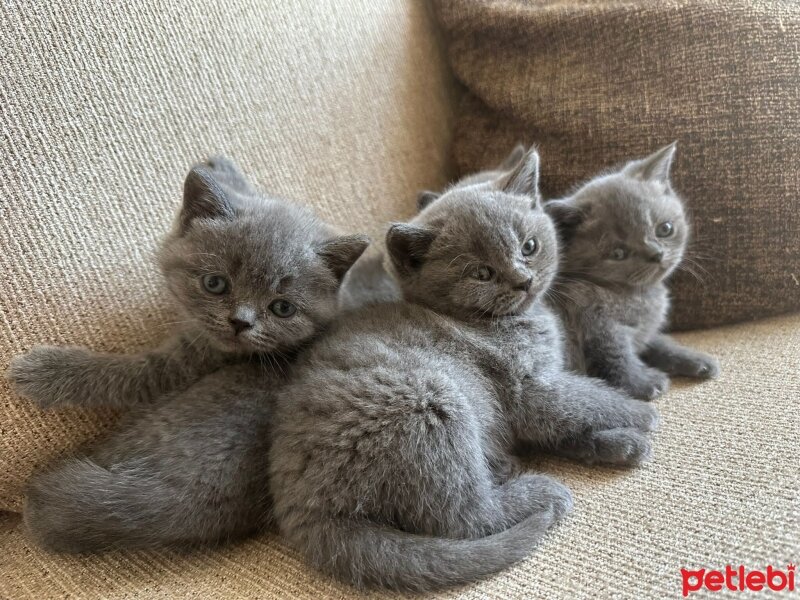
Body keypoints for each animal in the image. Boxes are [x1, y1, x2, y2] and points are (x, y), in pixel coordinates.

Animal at [268, 149, 656, 592]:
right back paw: (538, 493)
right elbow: (589, 397)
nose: (523, 280)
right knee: (464, 518)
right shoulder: (532, 390)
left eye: (530, 246)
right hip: (430, 402)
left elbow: (567, 421)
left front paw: (621, 442)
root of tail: (301, 506)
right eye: (481, 273)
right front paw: (641, 413)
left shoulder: (536, 404)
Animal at [548, 143, 720, 400]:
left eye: (665, 229)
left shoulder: (643, 331)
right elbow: (618, 358)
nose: (656, 254)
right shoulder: (598, 326)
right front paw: (644, 383)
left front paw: (694, 358)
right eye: (618, 253)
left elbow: (659, 342)